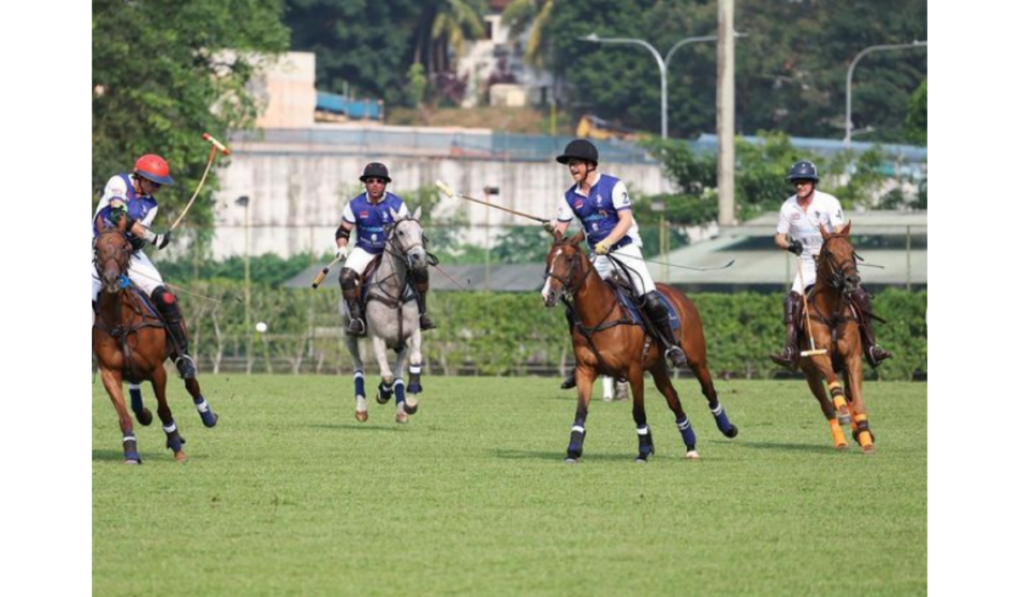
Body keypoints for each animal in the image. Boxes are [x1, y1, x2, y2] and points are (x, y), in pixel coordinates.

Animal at [93, 226, 219, 464]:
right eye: (97, 248)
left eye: (124, 246)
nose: (112, 279)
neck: (121, 321)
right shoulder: (109, 372)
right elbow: (124, 416)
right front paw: (131, 452)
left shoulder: (157, 370)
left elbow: (164, 410)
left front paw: (177, 446)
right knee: (135, 391)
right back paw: (143, 413)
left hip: (178, 351)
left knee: (190, 382)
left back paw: (207, 416)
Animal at [339, 207, 428, 421]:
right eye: (401, 232)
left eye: (421, 232)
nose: (419, 258)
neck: (394, 292)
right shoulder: (378, 338)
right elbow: (385, 375)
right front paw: (382, 393)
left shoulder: (412, 334)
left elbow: (414, 362)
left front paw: (411, 403)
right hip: (348, 334)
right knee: (358, 367)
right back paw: (361, 409)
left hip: (400, 343)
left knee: (398, 374)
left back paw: (401, 410)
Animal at [540, 231, 741, 464]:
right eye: (548, 259)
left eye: (569, 259)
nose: (548, 295)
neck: (599, 315)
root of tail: (678, 294)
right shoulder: (585, 370)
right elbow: (581, 411)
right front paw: (573, 450)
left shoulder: (634, 370)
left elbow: (638, 412)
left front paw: (644, 451)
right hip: (657, 366)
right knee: (674, 399)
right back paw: (690, 445)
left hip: (695, 357)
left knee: (708, 390)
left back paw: (727, 428)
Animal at [794, 222, 876, 454]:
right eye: (829, 252)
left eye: (852, 250)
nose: (852, 280)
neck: (832, 313)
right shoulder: (818, 357)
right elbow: (833, 385)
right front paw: (845, 414)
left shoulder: (853, 359)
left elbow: (858, 401)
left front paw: (865, 438)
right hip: (810, 374)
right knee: (827, 406)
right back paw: (840, 440)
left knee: (850, 395)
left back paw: (860, 432)